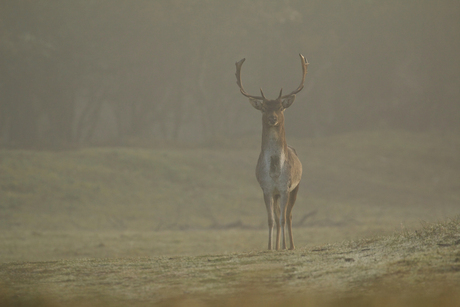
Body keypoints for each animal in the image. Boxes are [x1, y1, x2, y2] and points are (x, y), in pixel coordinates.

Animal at [235, 54, 308, 251]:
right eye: (264, 108)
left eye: (280, 107)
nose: (272, 118)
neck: (275, 170)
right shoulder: (267, 188)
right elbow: (271, 219)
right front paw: (269, 246)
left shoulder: (285, 187)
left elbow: (282, 219)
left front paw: (283, 245)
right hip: (276, 195)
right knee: (278, 215)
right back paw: (277, 245)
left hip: (296, 187)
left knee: (288, 216)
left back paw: (290, 245)